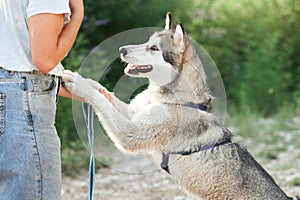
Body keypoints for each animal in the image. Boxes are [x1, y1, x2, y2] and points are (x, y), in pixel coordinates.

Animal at [62, 13, 296, 199]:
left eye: (153, 48)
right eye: (147, 42)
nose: (121, 49)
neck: (173, 98)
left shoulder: (130, 134)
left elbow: (101, 100)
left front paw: (78, 85)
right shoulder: (133, 113)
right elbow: (102, 91)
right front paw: (79, 77)